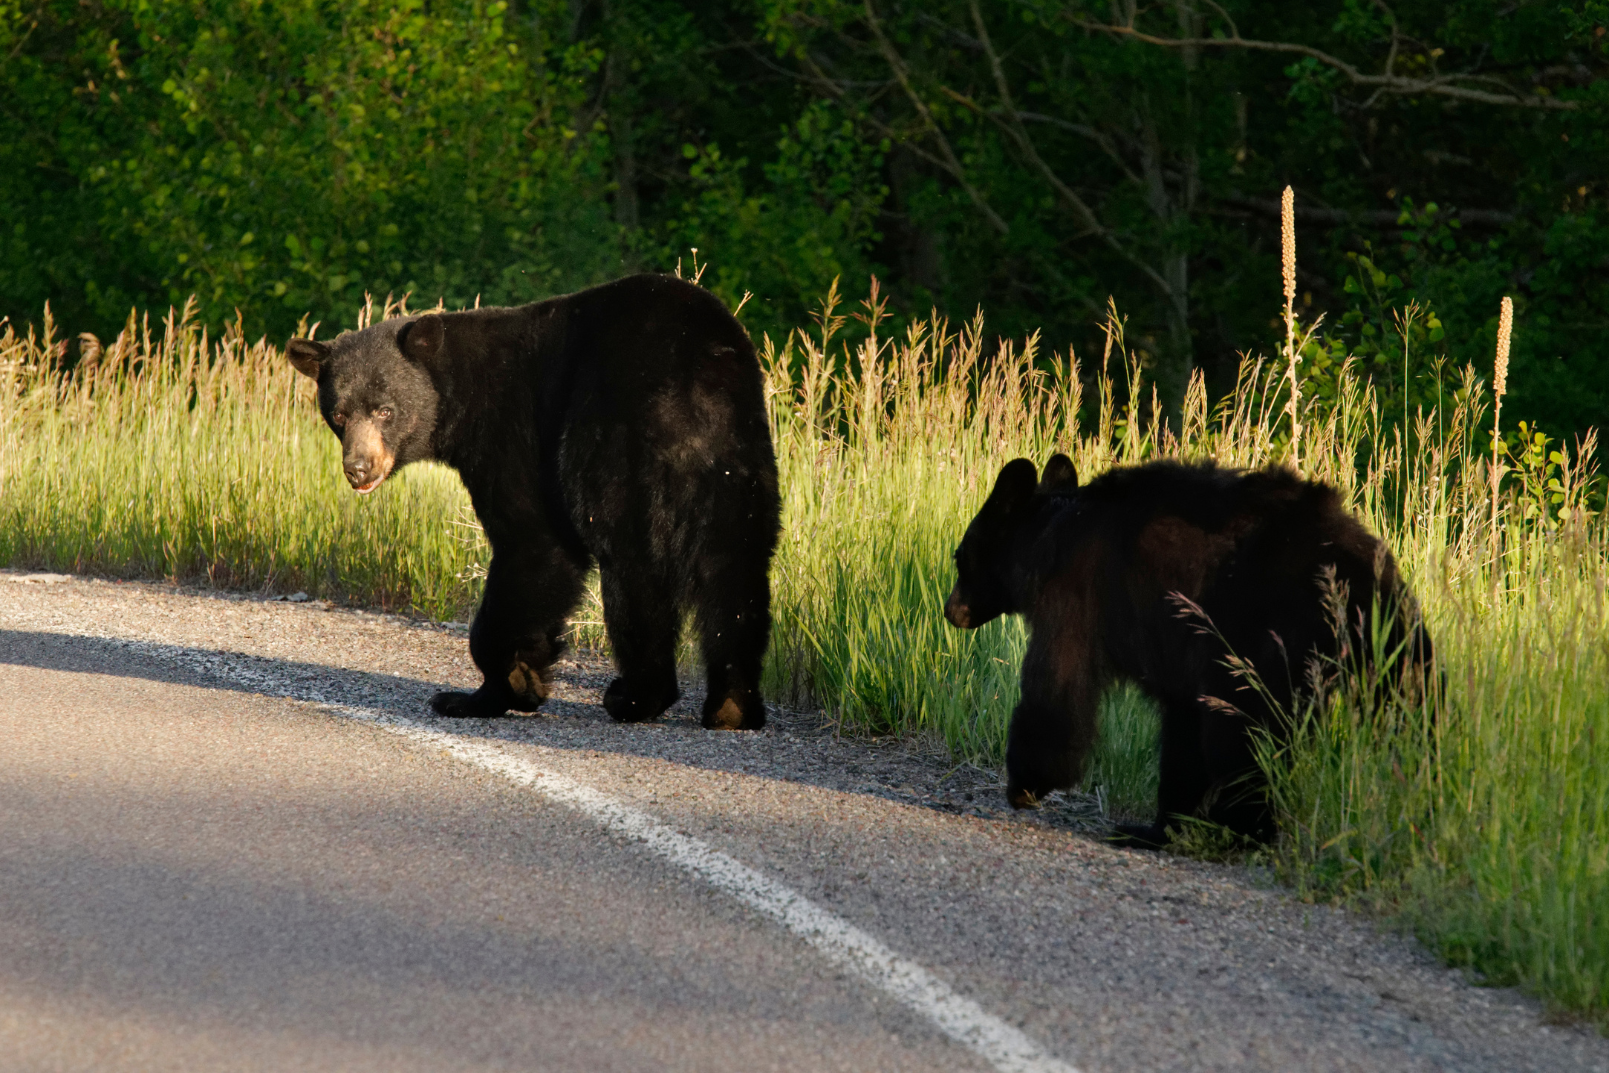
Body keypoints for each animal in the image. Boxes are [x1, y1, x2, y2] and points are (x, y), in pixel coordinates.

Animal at [286, 273, 781, 730]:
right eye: (339, 414)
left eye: (385, 410)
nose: (358, 468)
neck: (461, 391)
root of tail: (697, 367)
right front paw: (518, 677)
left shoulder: (513, 438)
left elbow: (535, 542)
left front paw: (490, 691)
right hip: (738, 452)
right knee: (735, 564)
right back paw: (733, 705)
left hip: (617, 432)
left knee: (632, 559)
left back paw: (636, 696)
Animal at [944, 454, 1432, 846]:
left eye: (959, 555)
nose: (951, 611)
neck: (1050, 531)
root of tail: (1352, 567)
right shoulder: (1178, 657)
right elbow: (1181, 734)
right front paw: (1159, 828)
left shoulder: (1074, 597)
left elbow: (1057, 688)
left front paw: (1024, 786)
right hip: (1392, 637)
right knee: (1414, 705)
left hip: (1258, 640)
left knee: (1242, 736)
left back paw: (1240, 830)